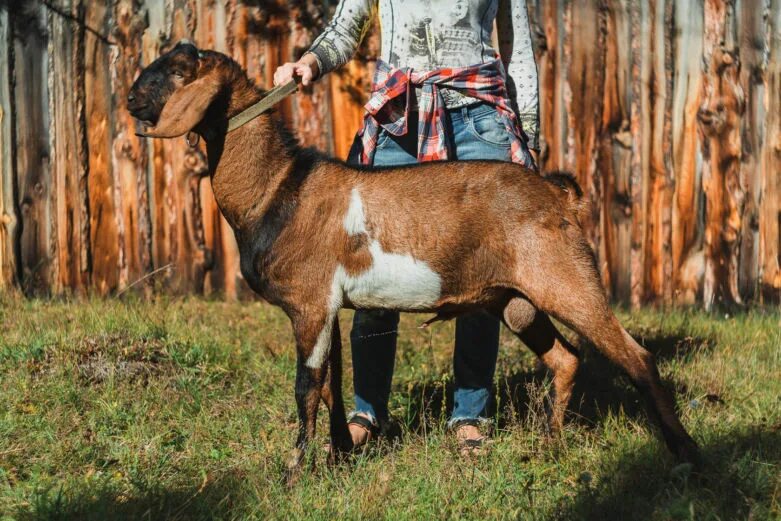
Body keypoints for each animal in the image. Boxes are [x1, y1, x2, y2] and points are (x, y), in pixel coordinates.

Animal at [129, 42, 700, 474]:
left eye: (179, 71)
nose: (132, 96)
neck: (279, 188)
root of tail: (560, 196)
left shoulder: (310, 304)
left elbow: (306, 387)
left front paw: (294, 473)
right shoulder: (331, 307)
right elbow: (334, 384)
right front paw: (341, 456)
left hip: (567, 279)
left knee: (636, 357)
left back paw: (686, 453)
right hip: (515, 300)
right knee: (567, 358)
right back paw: (550, 445)